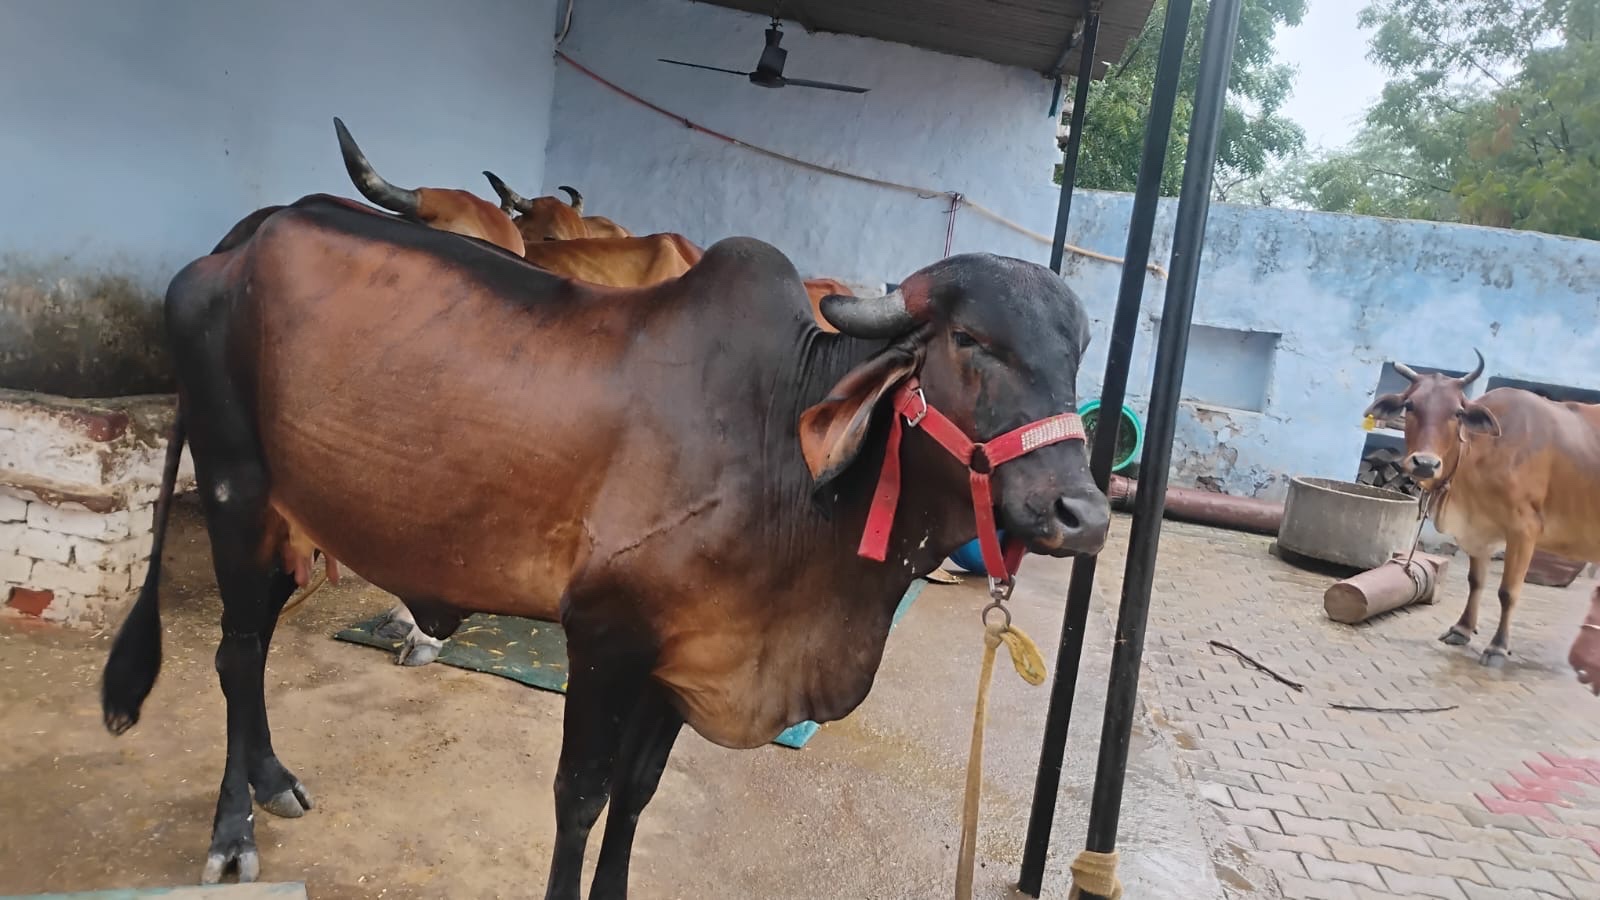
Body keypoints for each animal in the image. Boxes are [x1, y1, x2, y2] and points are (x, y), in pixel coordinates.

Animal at [98, 192, 1109, 895]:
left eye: (1077, 355)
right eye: (971, 340)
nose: (1083, 514)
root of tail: (244, 239)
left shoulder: (684, 657)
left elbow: (637, 797)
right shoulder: (604, 638)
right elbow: (580, 797)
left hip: (291, 519)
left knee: (256, 642)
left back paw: (272, 778)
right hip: (235, 489)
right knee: (236, 651)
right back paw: (233, 833)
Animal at [1364, 350, 1600, 666]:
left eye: (1457, 412)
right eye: (1410, 405)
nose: (1425, 463)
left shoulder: (1524, 529)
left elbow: (1508, 592)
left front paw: (1497, 647)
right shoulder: (1478, 528)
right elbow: (1475, 580)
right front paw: (1462, 629)